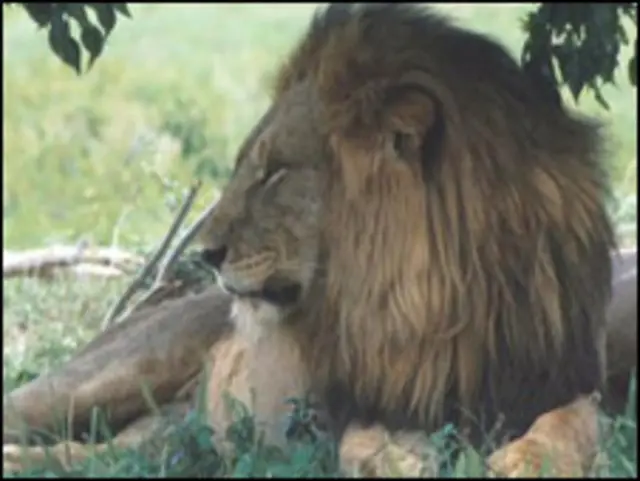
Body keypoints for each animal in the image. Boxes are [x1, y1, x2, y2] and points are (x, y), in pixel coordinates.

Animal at [3, 3, 627, 477]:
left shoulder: (554, 383)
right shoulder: (347, 407)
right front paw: (396, 463)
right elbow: (363, 440)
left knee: (99, 453)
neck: (441, 306)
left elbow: (573, 424)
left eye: (276, 171)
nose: (205, 255)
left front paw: (528, 461)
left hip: (168, 432)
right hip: (106, 374)